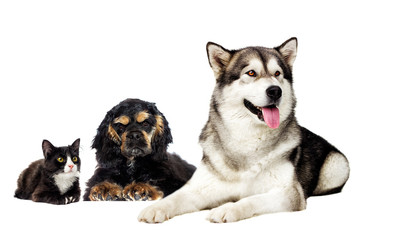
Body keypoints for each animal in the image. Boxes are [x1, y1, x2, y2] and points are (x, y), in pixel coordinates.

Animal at [138, 37, 350, 223]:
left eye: (277, 74)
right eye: (251, 73)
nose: (275, 91)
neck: (248, 141)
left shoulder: (288, 192)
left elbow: (251, 199)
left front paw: (227, 209)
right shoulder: (201, 188)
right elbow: (176, 198)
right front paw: (155, 208)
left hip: (338, 166)